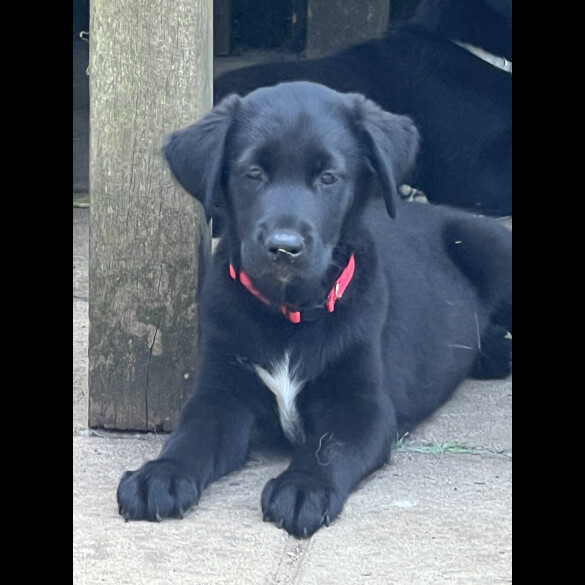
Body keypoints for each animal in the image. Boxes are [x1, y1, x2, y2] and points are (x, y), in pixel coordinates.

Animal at [116, 82, 508, 540]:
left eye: (328, 177)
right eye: (254, 173)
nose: (284, 247)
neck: (290, 311)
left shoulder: (362, 406)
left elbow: (328, 448)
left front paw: (303, 487)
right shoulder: (221, 394)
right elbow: (191, 436)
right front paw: (160, 473)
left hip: (491, 248)